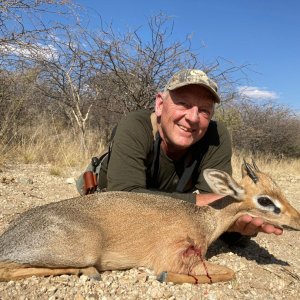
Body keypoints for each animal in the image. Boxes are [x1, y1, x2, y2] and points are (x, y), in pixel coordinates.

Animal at [0, 161, 298, 282]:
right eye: (265, 200)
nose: (296, 219)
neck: (205, 220)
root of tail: (8, 237)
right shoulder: (175, 256)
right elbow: (228, 271)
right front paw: (163, 277)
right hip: (80, 251)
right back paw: (89, 272)